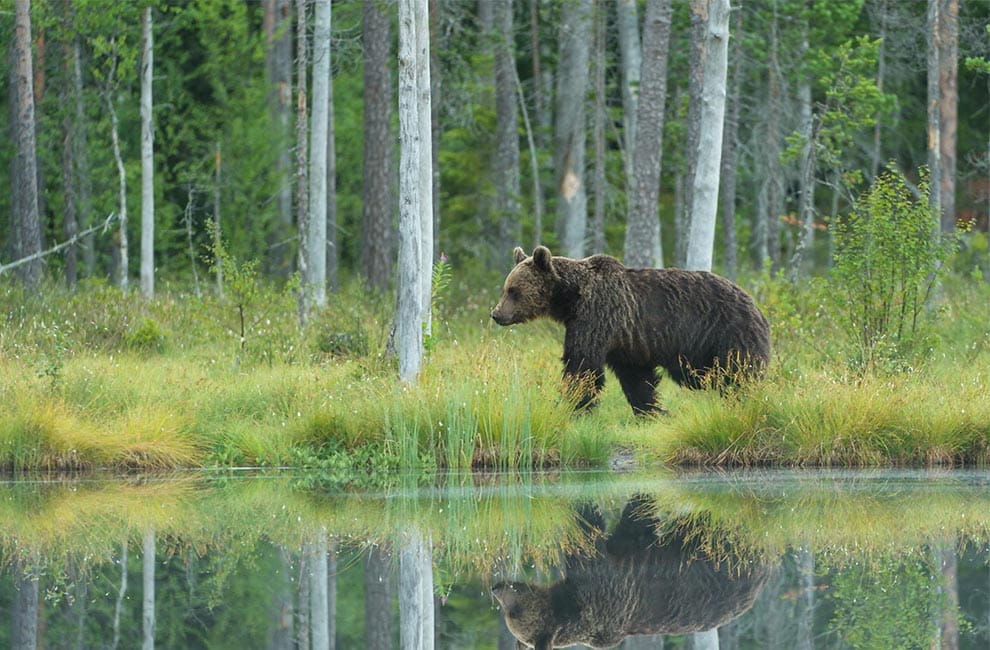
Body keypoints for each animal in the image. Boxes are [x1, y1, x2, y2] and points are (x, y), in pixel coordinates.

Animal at [490, 246, 771, 415]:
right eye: (506, 288)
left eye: (513, 291)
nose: (496, 314)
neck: (570, 299)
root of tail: (755, 304)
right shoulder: (627, 342)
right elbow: (637, 379)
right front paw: (652, 411)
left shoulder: (598, 316)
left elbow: (583, 364)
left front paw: (572, 405)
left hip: (727, 332)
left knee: (740, 373)